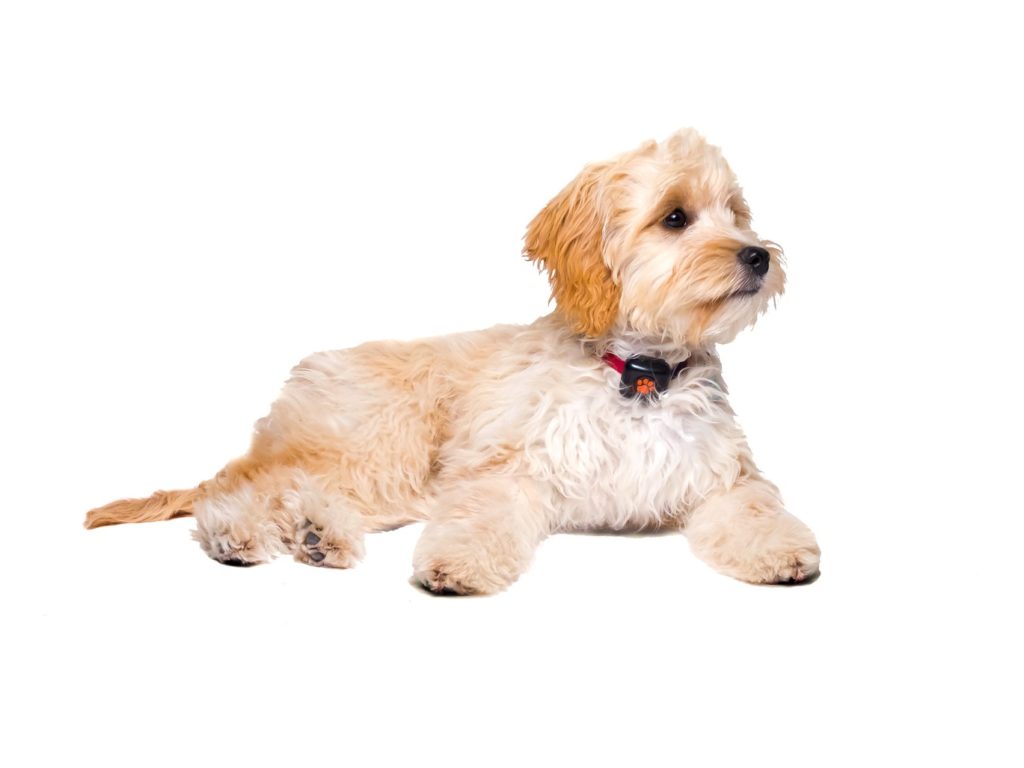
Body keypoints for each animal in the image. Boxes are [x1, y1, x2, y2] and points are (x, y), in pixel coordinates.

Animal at [88, 128, 823, 593]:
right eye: (675, 217)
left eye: (737, 212)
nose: (758, 255)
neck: (639, 375)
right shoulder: (503, 469)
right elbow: (478, 518)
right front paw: (460, 566)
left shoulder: (723, 477)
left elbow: (754, 510)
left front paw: (782, 551)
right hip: (383, 442)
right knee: (241, 490)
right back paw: (237, 536)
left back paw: (317, 537)